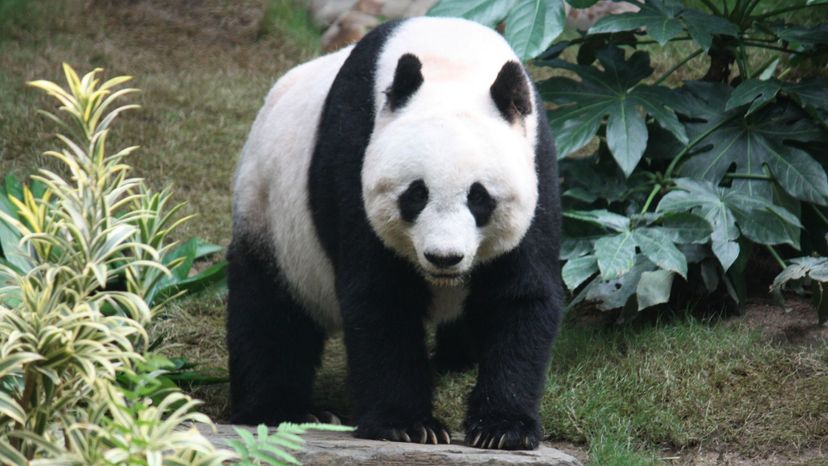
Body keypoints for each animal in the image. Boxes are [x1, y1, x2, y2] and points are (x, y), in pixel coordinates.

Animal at [227, 17, 562, 450]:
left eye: (479, 198)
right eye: (416, 194)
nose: (444, 257)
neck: (452, 61)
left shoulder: (537, 166)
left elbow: (518, 296)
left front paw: (502, 428)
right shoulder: (354, 155)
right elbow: (382, 297)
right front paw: (408, 425)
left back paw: (456, 359)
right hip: (270, 214)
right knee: (270, 312)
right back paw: (282, 410)